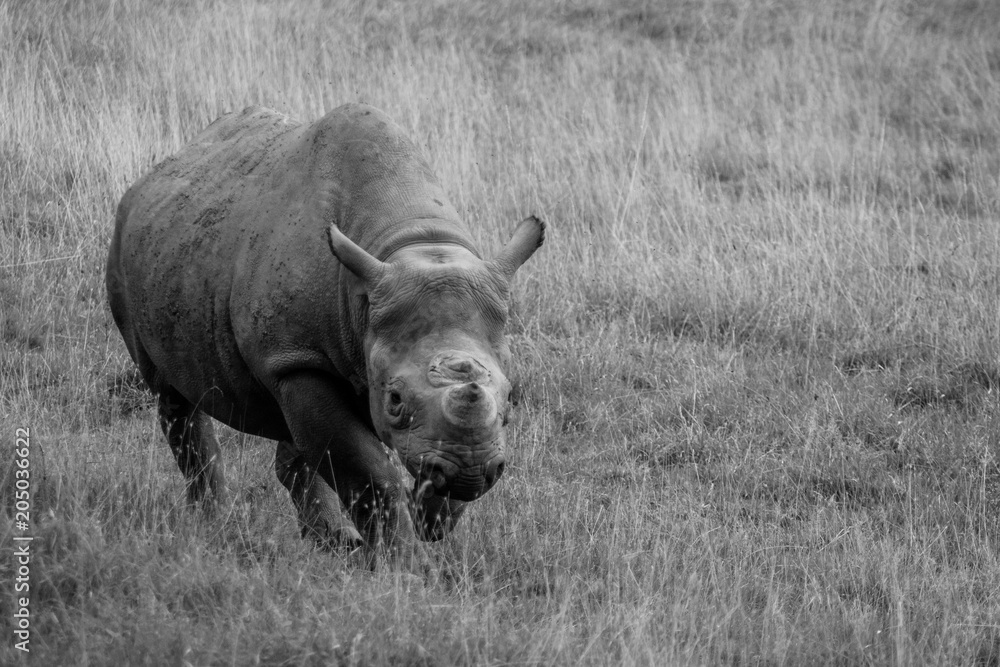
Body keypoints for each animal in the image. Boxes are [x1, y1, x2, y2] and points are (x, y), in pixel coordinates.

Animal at [106, 103, 544, 552]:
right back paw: (214, 523)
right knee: (174, 397)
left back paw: (331, 541)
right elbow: (369, 473)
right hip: (126, 249)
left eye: (512, 397)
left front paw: (426, 521)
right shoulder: (299, 358)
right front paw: (403, 559)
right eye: (395, 400)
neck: (415, 241)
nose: (469, 466)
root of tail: (156, 172)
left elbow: (425, 472)